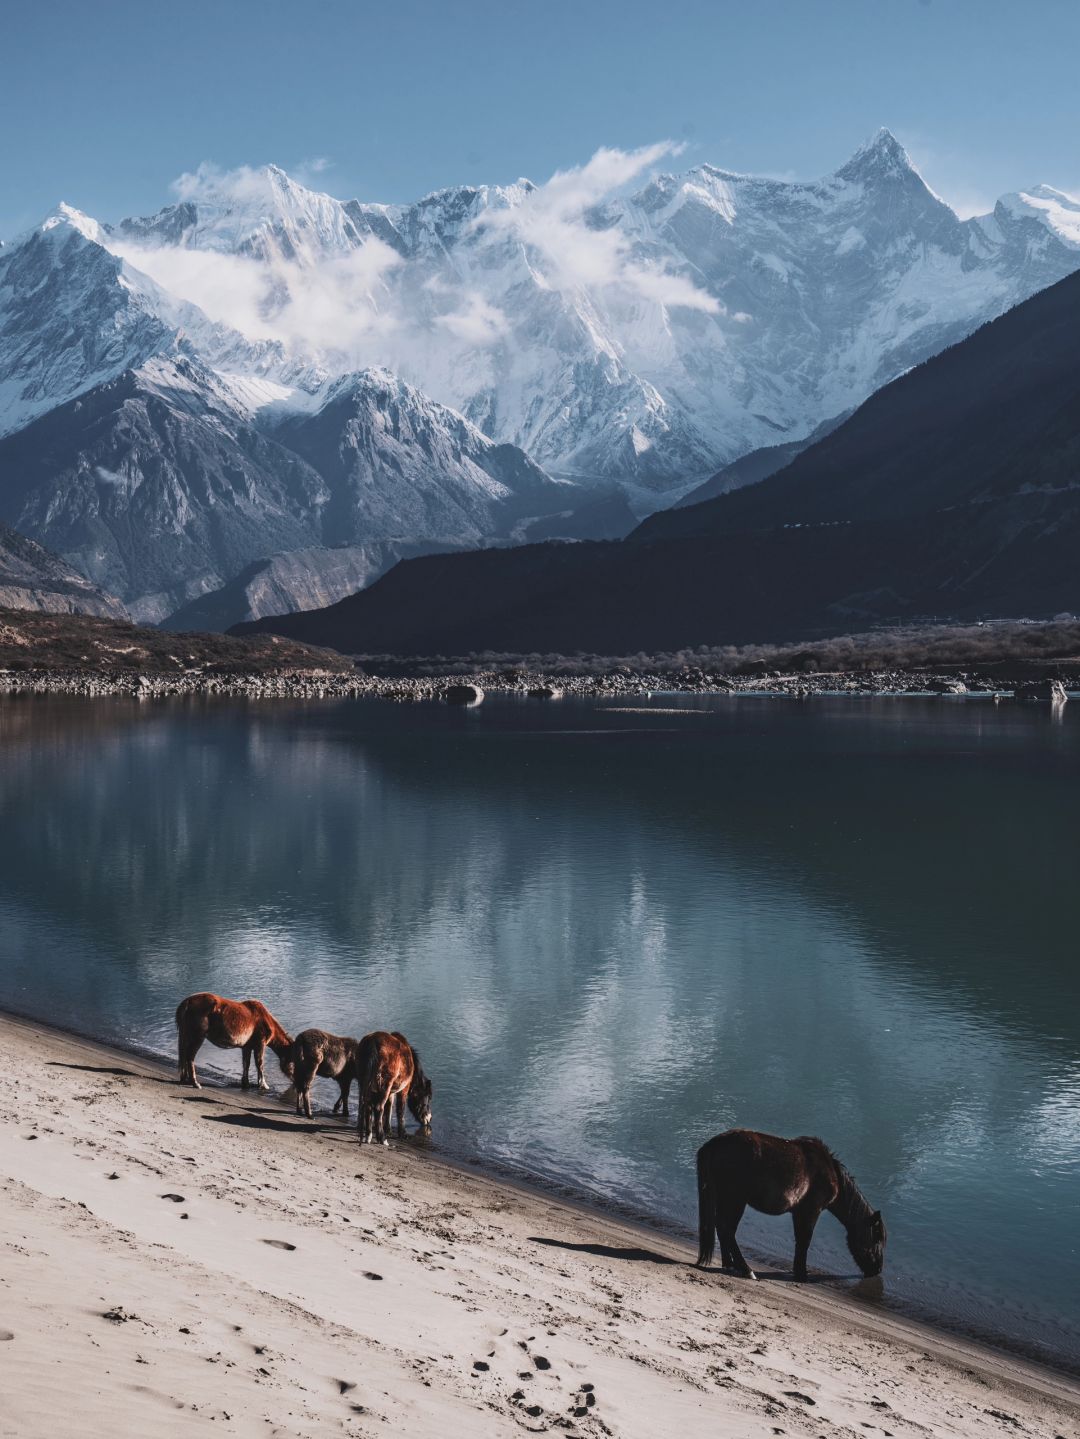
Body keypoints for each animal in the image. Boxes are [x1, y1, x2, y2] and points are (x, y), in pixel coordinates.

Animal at [696, 1122, 891, 1283]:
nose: (877, 1270)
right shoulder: (811, 1210)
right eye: (877, 1238)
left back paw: (729, 1264)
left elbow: (800, 1241)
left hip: (726, 1198)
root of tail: (714, 1144)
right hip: (735, 1200)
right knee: (728, 1230)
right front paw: (802, 1275)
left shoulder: (798, 1212)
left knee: (721, 1228)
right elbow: (805, 1241)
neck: (831, 1172)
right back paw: (746, 1270)